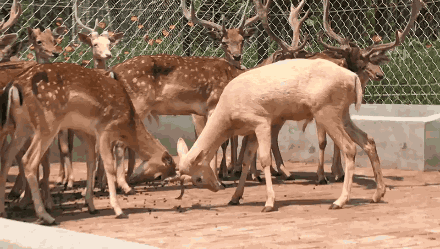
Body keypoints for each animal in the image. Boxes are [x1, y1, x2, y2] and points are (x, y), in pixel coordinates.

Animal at [0, 61, 176, 224]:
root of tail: (15, 86)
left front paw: (91, 206)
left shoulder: (86, 132)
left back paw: (4, 212)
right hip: (47, 124)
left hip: (22, 125)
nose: (171, 176)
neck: (127, 121)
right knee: (28, 160)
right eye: (166, 168)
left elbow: (90, 163)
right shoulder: (105, 128)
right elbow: (109, 166)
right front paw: (118, 210)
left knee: (7, 157)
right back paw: (46, 216)